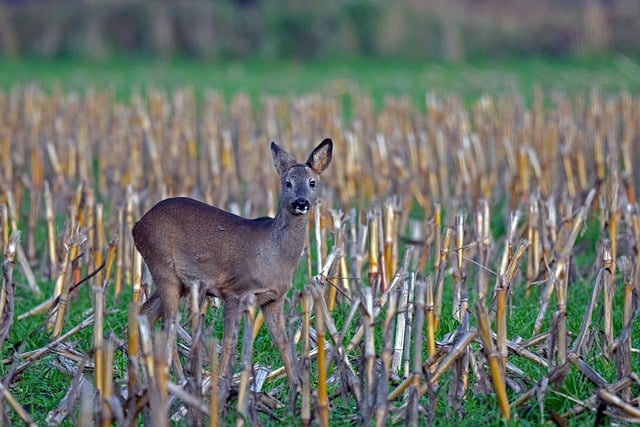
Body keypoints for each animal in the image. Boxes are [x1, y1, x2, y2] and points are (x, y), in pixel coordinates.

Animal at [132, 140, 332, 402]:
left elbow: (282, 341)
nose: (301, 203)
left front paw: (296, 391)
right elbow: (229, 342)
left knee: (145, 313)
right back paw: (179, 383)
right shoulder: (234, 290)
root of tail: (136, 226)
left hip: (180, 281)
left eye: (312, 182)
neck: (273, 255)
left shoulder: (274, 298)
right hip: (162, 266)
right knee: (168, 326)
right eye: (287, 182)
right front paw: (221, 388)